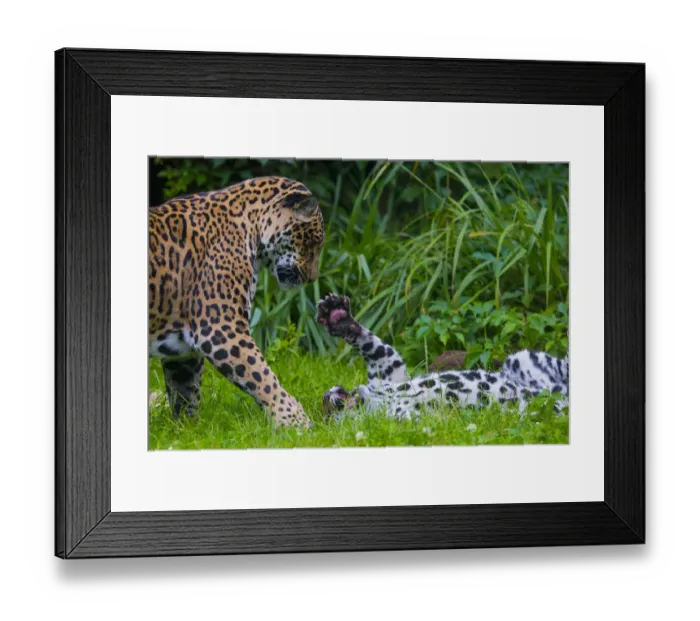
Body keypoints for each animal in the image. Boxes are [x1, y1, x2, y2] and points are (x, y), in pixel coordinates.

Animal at [149, 176, 324, 427]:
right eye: (313, 243)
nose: (312, 278)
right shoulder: (221, 328)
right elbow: (261, 375)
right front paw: (295, 421)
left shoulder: (182, 350)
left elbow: (186, 392)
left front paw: (188, 430)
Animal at [316, 294, 569, 421]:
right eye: (328, 410)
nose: (328, 394)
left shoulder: (391, 373)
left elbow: (375, 347)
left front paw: (337, 315)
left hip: (522, 359)